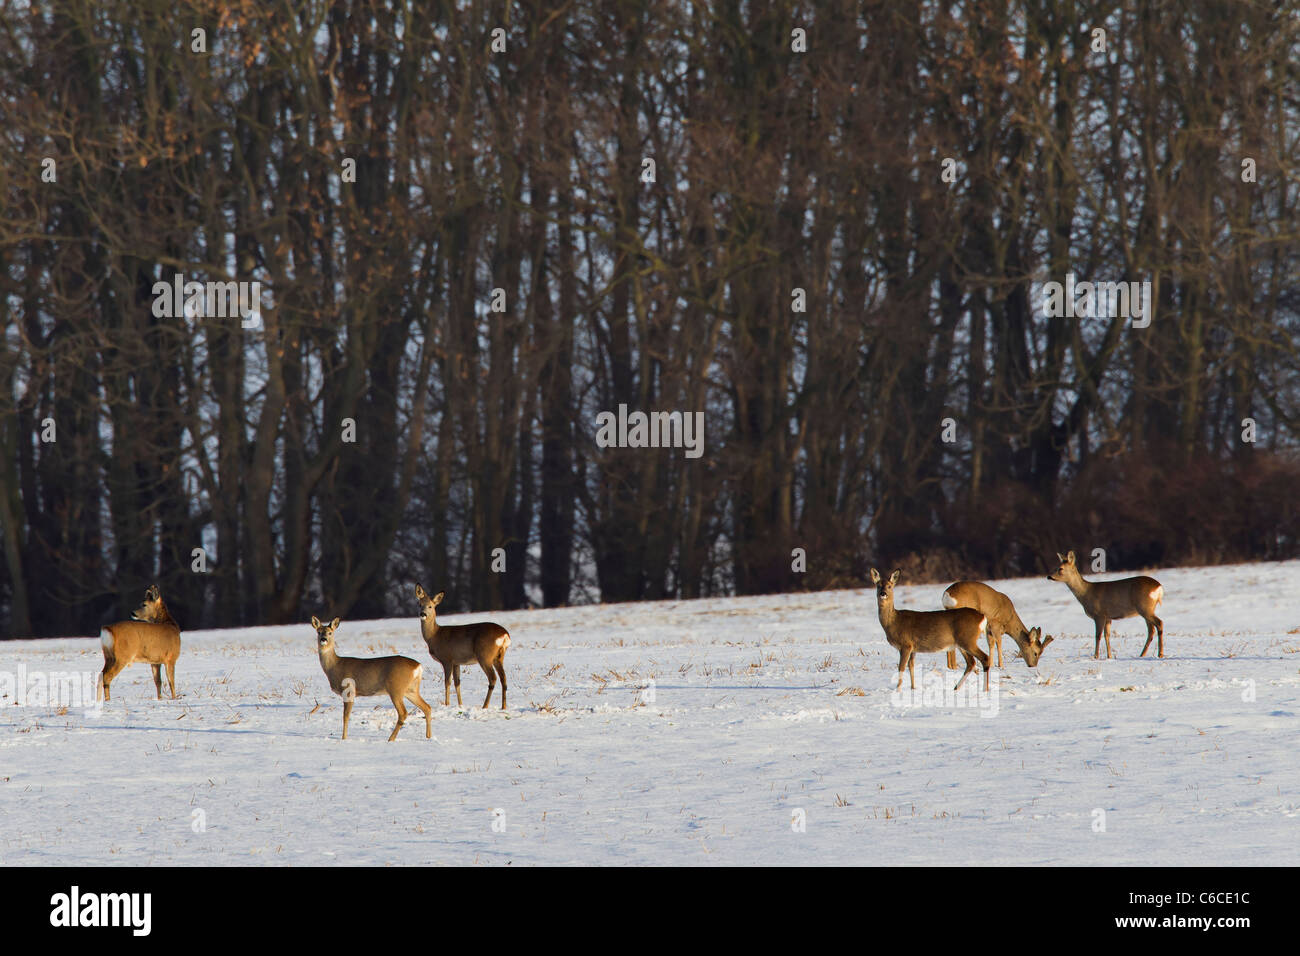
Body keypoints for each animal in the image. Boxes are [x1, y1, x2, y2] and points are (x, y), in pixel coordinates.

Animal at [413, 582, 509, 712]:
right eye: (419, 604)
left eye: (431, 606)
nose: (422, 614)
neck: (435, 636)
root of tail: (504, 635)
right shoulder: (456, 662)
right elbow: (457, 683)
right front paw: (460, 705)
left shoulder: (447, 659)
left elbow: (447, 682)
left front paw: (447, 704)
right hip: (498, 656)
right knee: (503, 678)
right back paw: (503, 707)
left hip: (485, 655)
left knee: (493, 678)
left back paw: (485, 706)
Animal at [868, 567, 987, 697]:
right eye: (878, 585)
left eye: (890, 586)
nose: (883, 593)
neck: (893, 622)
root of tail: (982, 617)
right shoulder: (913, 648)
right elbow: (911, 666)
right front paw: (913, 688)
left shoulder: (906, 644)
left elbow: (901, 667)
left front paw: (898, 690)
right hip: (961, 642)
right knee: (971, 662)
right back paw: (956, 688)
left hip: (968, 639)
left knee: (984, 658)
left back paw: (985, 689)